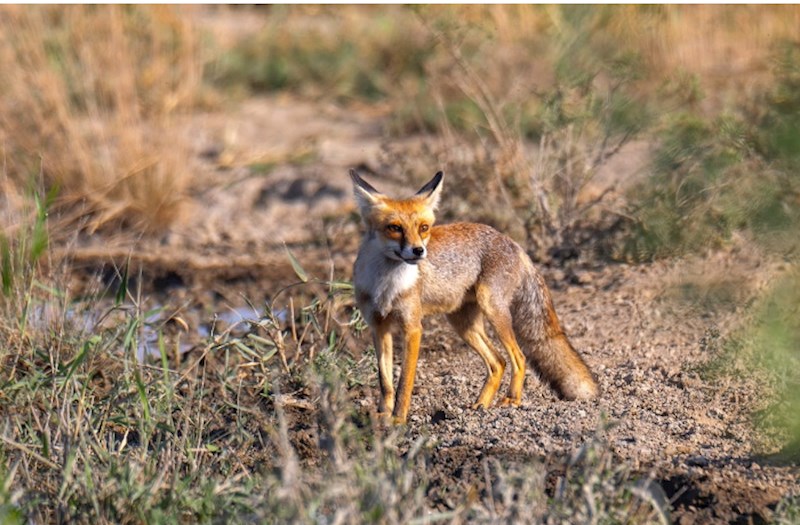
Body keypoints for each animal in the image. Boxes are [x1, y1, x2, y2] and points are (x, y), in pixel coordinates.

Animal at [346, 170, 596, 424]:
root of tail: (513, 243)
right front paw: (383, 415)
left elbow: (405, 382)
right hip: (463, 324)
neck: (385, 285)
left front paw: (398, 419)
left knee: (518, 358)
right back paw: (480, 405)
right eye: (395, 228)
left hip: (492, 309)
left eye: (424, 228)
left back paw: (512, 400)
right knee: (498, 362)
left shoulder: (413, 328)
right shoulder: (379, 326)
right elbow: (385, 382)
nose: (418, 251)